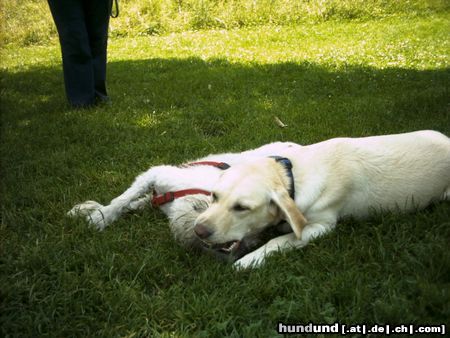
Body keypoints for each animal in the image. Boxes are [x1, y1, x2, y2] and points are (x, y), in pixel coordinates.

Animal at [193, 131, 450, 268]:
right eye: (215, 196)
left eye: (242, 207)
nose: (199, 231)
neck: (291, 174)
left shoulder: (321, 226)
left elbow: (278, 241)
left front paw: (249, 261)